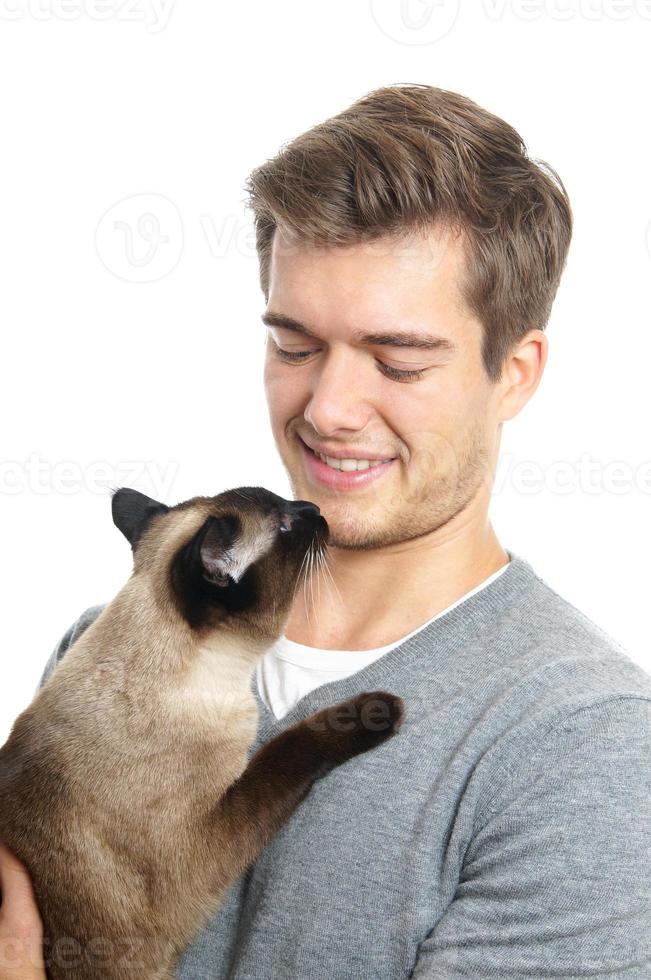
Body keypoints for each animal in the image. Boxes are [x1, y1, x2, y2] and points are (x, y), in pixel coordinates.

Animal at [0, 486, 404, 976]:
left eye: (289, 505)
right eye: (286, 526)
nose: (315, 509)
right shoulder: (201, 851)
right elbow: (284, 753)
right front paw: (378, 712)